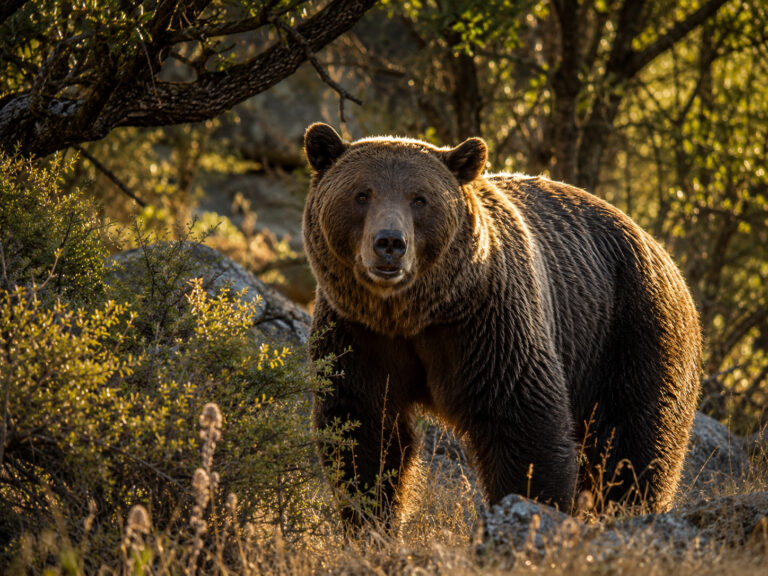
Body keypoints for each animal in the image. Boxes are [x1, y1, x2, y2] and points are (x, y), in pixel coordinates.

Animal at [302, 122, 701, 522]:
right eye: (361, 194)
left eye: (420, 199)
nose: (389, 243)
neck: (411, 315)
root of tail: (660, 248)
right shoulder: (357, 333)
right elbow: (364, 433)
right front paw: (371, 518)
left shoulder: (487, 325)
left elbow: (523, 425)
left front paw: (531, 505)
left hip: (633, 328)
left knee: (633, 442)